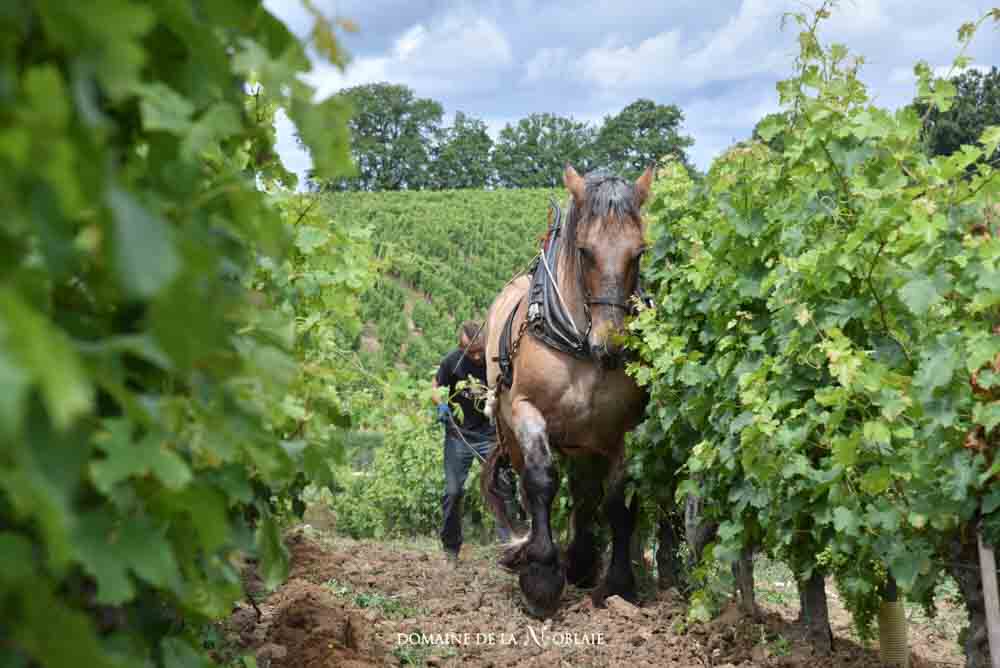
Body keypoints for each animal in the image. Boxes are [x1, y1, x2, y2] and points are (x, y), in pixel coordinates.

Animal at [480, 164, 652, 620]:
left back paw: (581, 561)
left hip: (583, 440)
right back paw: (531, 553)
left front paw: (618, 583)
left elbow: (614, 500)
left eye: (638, 253)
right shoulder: (527, 411)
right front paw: (541, 576)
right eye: (585, 251)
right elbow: (540, 482)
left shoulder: (620, 430)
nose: (611, 345)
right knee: (527, 483)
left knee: (584, 493)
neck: (580, 344)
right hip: (512, 429)